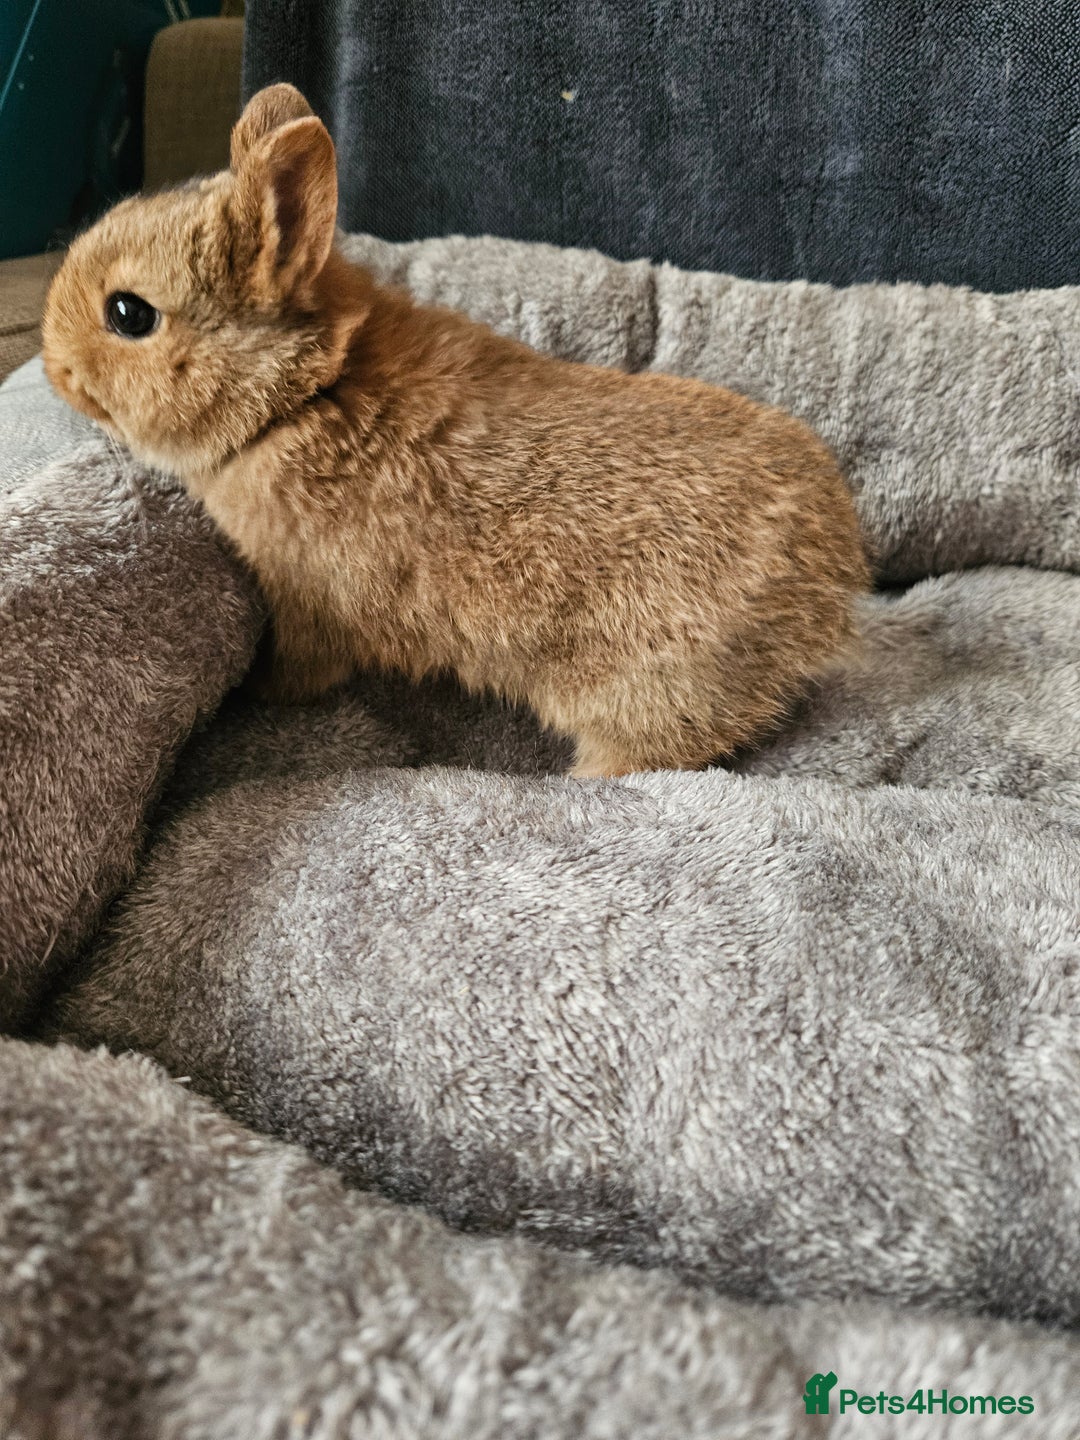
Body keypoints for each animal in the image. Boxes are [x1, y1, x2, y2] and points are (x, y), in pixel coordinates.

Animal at [42, 83, 869, 778]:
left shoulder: (309, 602)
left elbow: (301, 668)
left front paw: (256, 693)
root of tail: (831, 587)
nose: (52, 368)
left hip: (647, 695)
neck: (297, 396)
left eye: (129, 314)